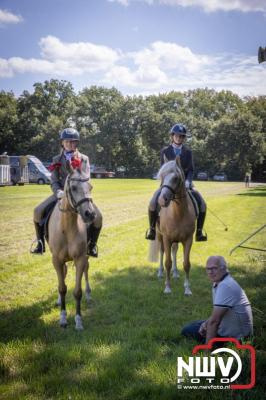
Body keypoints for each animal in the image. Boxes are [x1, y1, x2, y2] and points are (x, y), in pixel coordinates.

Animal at [47, 167, 95, 330]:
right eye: (73, 188)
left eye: (90, 187)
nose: (90, 214)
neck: (67, 228)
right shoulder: (56, 260)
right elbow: (62, 287)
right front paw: (63, 318)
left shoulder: (80, 258)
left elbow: (77, 291)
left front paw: (78, 321)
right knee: (63, 274)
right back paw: (58, 300)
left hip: (86, 256)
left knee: (86, 270)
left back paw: (89, 294)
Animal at [149, 158, 196, 296]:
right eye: (162, 176)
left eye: (175, 178)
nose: (162, 200)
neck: (178, 213)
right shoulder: (166, 238)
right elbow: (167, 262)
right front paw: (167, 287)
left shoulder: (188, 239)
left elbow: (186, 264)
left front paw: (187, 289)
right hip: (160, 236)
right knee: (162, 252)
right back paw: (160, 273)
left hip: (176, 240)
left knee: (174, 251)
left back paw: (175, 273)